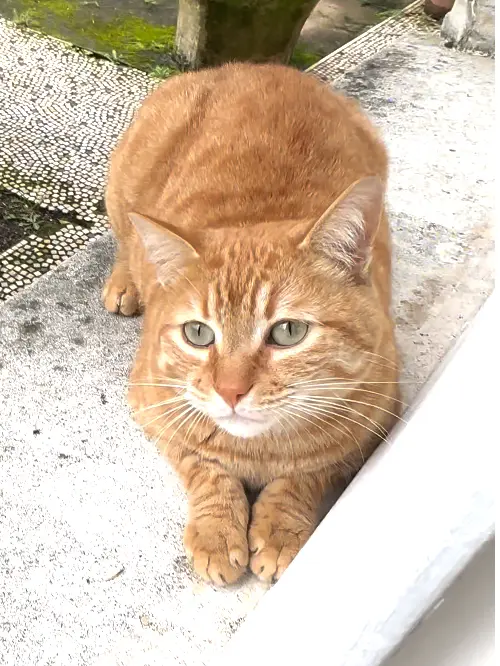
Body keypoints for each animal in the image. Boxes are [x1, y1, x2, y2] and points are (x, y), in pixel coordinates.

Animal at [101, 61, 398, 580]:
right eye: (198, 333)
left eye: (288, 332)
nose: (230, 392)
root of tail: (256, 65)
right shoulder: (152, 407)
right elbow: (206, 470)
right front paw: (218, 532)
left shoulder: (372, 425)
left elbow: (304, 475)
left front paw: (279, 530)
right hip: (122, 192)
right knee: (126, 238)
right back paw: (125, 283)